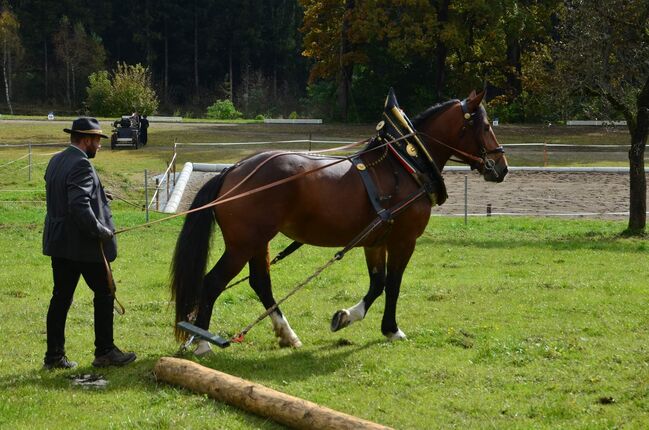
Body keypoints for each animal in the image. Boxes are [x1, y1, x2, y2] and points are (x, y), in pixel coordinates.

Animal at [170, 89, 508, 354]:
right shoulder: (403, 240)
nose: (501, 166)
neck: (406, 164)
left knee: (260, 283)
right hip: (243, 244)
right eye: (485, 126)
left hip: (258, 241)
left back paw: (287, 334)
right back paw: (202, 342)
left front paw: (345, 316)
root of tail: (233, 170)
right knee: (212, 283)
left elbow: (377, 284)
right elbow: (393, 285)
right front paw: (391, 328)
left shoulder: (375, 241)